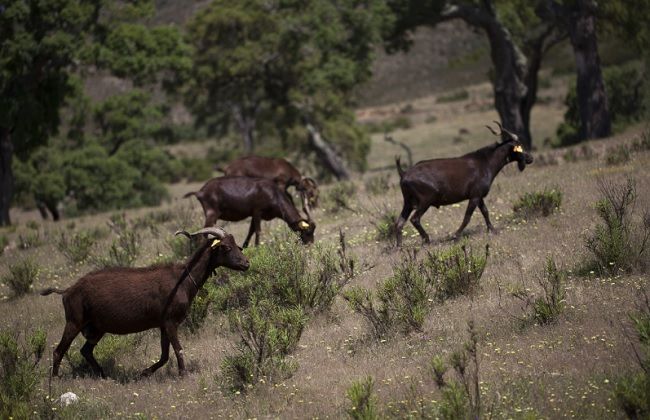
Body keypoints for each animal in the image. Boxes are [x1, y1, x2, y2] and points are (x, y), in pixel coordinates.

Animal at [39, 228, 248, 378]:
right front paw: (183, 374)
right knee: (58, 351)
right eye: (226, 247)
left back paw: (103, 375)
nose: (246, 264)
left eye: (238, 245)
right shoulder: (170, 322)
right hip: (74, 322)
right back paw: (56, 379)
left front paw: (144, 373)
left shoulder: (163, 325)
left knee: (86, 351)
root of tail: (68, 290)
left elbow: (164, 356)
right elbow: (178, 350)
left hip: (97, 328)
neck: (182, 278)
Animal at [184, 176, 316, 248]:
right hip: (212, 214)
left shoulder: (253, 215)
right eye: (308, 232)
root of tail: (200, 192)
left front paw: (245, 247)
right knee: (203, 234)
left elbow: (251, 231)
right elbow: (258, 230)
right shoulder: (258, 212)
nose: (310, 244)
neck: (273, 193)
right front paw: (257, 247)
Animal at [392, 121, 536, 246]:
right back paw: (427, 240)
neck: (485, 162)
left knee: (399, 223)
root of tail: (404, 174)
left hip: (408, 203)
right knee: (414, 219)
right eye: (519, 147)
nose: (530, 158)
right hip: (425, 201)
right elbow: (467, 217)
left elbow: (485, 211)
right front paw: (455, 235)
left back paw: (399, 247)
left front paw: (493, 230)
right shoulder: (474, 196)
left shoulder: (479, 196)